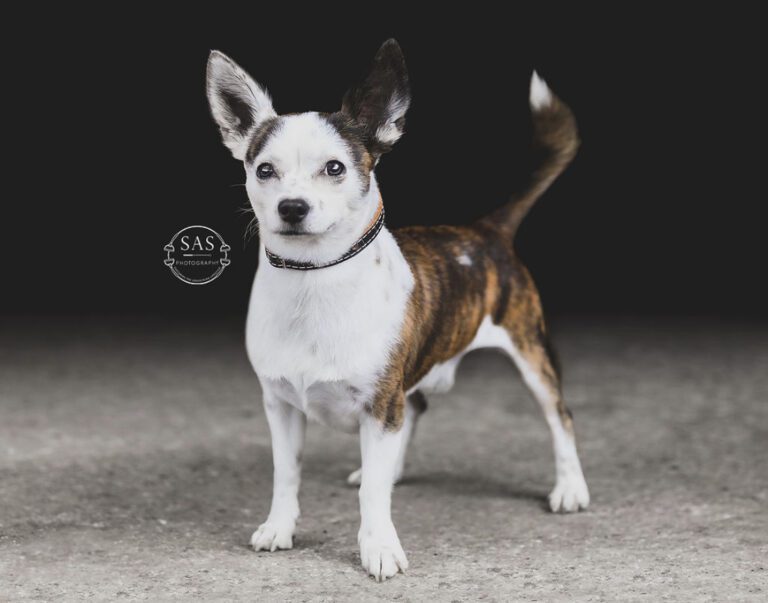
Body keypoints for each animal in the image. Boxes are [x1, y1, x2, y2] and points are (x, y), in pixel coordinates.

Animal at [204, 36, 588, 580]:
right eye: (264, 171)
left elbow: (371, 494)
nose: (292, 207)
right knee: (417, 408)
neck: (314, 278)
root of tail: (486, 230)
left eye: (335, 168)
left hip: (530, 351)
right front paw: (279, 527)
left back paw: (570, 488)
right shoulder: (280, 405)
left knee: (560, 416)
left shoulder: (381, 402)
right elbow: (286, 472)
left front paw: (379, 546)